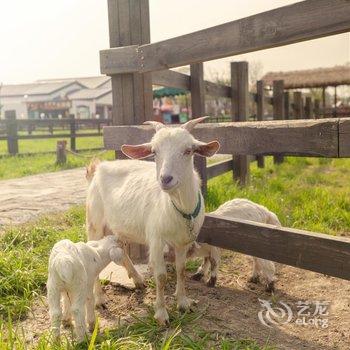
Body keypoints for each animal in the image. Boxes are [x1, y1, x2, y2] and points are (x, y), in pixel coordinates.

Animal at [86, 117, 220, 326]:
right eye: (154, 151)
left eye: (188, 150)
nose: (165, 179)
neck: (178, 208)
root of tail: (99, 167)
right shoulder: (156, 240)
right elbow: (161, 276)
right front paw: (162, 314)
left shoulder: (183, 242)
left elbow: (181, 270)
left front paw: (183, 303)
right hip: (95, 222)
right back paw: (100, 299)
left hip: (119, 226)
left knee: (122, 250)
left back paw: (138, 280)